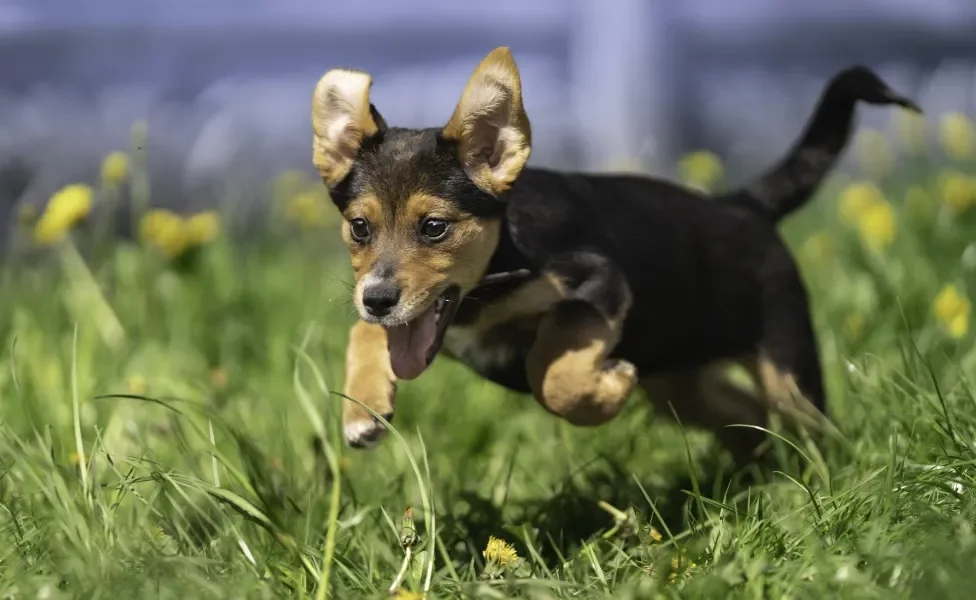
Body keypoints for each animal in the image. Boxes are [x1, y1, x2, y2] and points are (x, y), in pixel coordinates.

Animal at [312, 48, 924, 460]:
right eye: (359, 228)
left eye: (435, 228)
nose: (378, 298)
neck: (490, 273)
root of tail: (743, 205)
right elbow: (364, 333)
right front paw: (362, 406)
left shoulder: (598, 281)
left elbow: (551, 367)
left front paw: (602, 392)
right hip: (680, 386)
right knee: (748, 418)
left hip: (788, 369)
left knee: (808, 428)